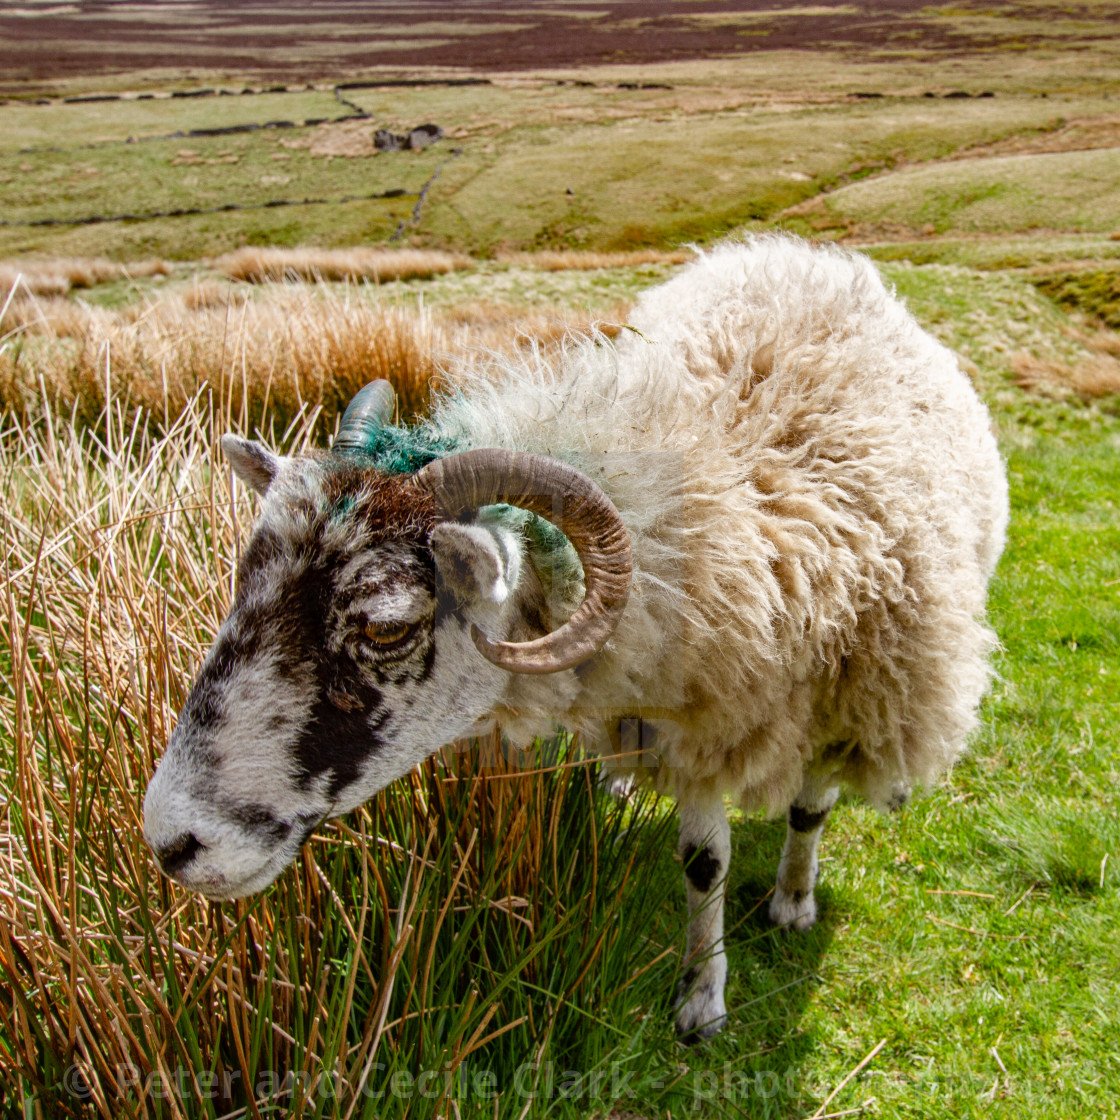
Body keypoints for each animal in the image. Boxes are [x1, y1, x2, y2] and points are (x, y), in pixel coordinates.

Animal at [144, 234, 1012, 1039]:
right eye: (244, 581)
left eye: (386, 625)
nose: (170, 841)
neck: (725, 507)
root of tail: (793, 254)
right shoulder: (693, 715)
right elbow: (704, 862)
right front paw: (704, 989)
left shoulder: (829, 697)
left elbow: (803, 811)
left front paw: (783, 910)